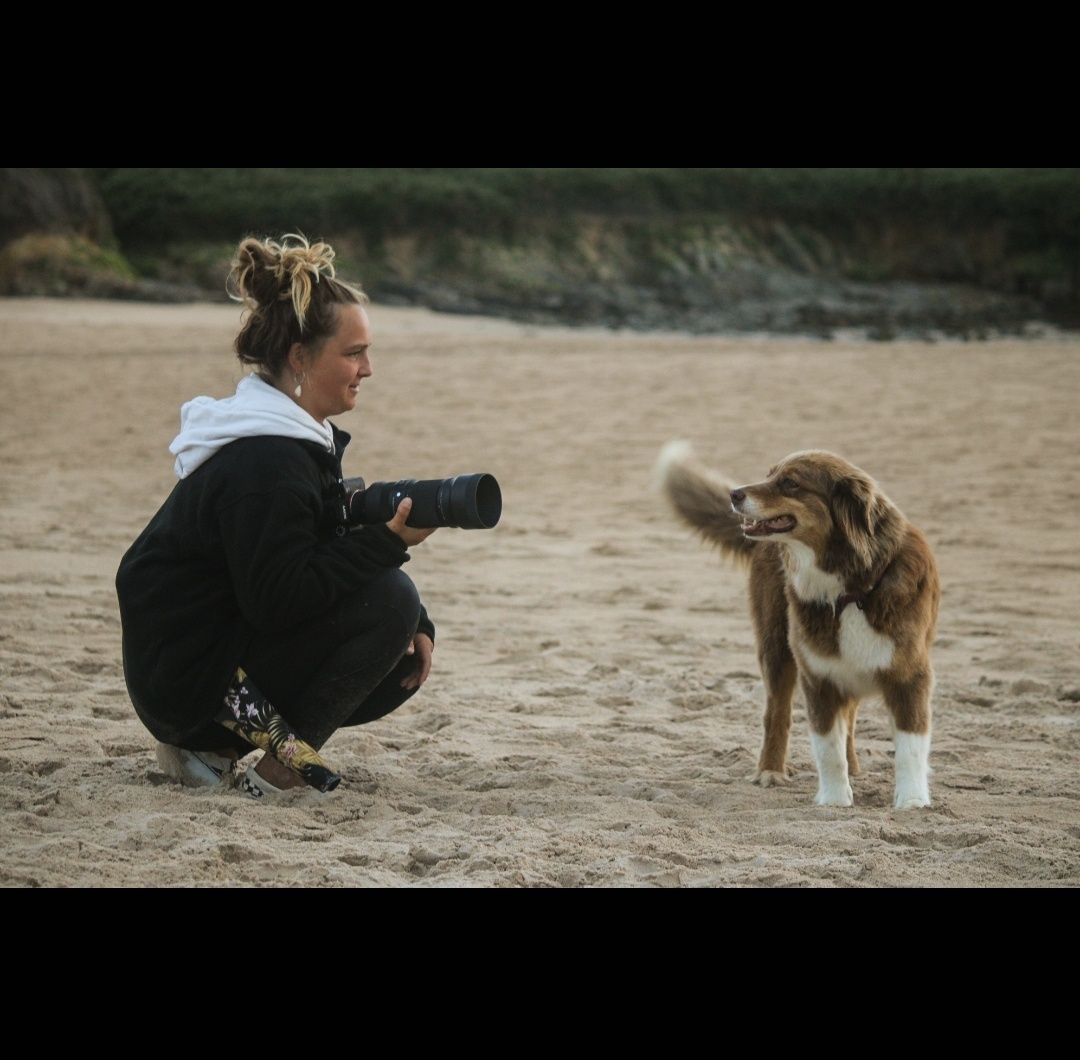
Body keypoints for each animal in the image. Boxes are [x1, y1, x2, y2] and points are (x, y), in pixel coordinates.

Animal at [656, 443, 937, 808]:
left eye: (790, 483)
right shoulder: (819, 673)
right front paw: (834, 800)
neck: (851, 589)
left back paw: (854, 766)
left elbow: (910, 747)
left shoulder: (909, 673)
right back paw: (770, 770)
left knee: (850, 716)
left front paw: (912, 800)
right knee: (777, 713)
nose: (734, 493)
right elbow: (828, 747)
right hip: (776, 647)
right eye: (769, 474)